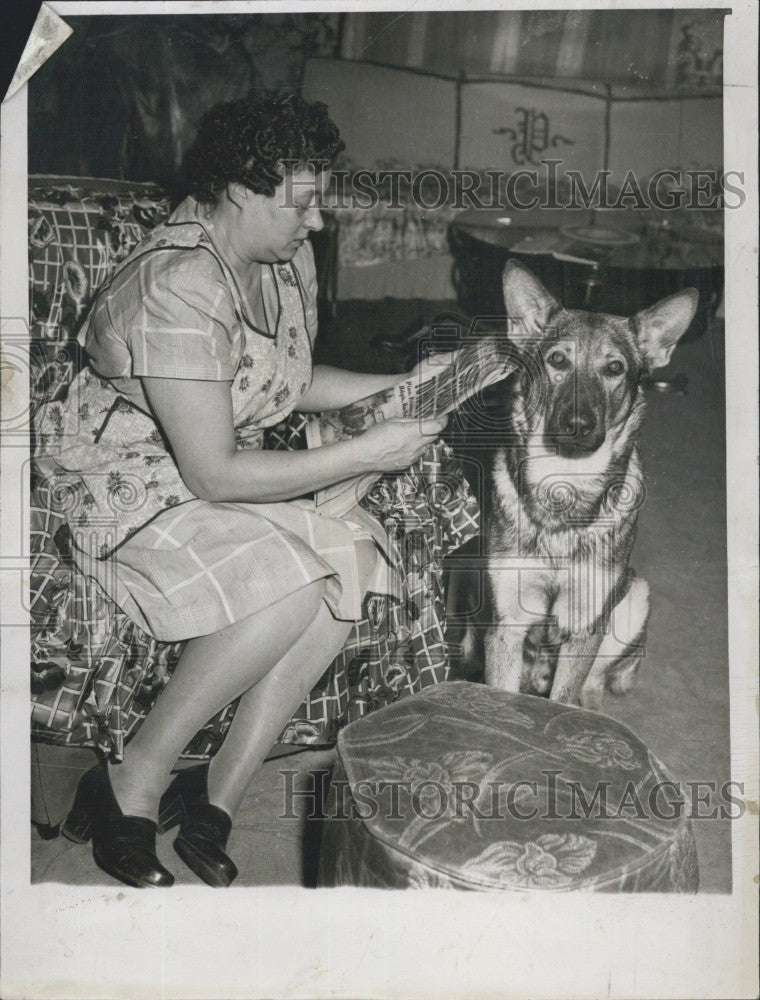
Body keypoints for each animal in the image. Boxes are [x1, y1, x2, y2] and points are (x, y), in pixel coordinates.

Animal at [484, 262, 696, 708]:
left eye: (614, 368)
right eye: (557, 360)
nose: (577, 425)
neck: (565, 484)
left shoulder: (584, 626)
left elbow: (564, 697)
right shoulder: (505, 623)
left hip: (633, 597)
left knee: (594, 684)